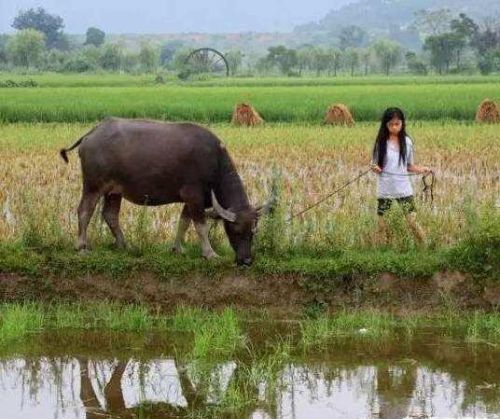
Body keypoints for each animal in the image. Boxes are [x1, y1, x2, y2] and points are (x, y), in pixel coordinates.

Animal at [60, 117, 272, 266]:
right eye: (235, 230)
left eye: (253, 231)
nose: (246, 260)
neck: (215, 163)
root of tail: (92, 132)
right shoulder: (194, 196)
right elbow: (201, 227)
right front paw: (210, 253)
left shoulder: (191, 200)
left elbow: (183, 223)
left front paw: (177, 248)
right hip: (93, 186)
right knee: (84, 211)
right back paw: (81, 246)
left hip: (114, 191)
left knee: (110, 214)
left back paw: (124, 245)